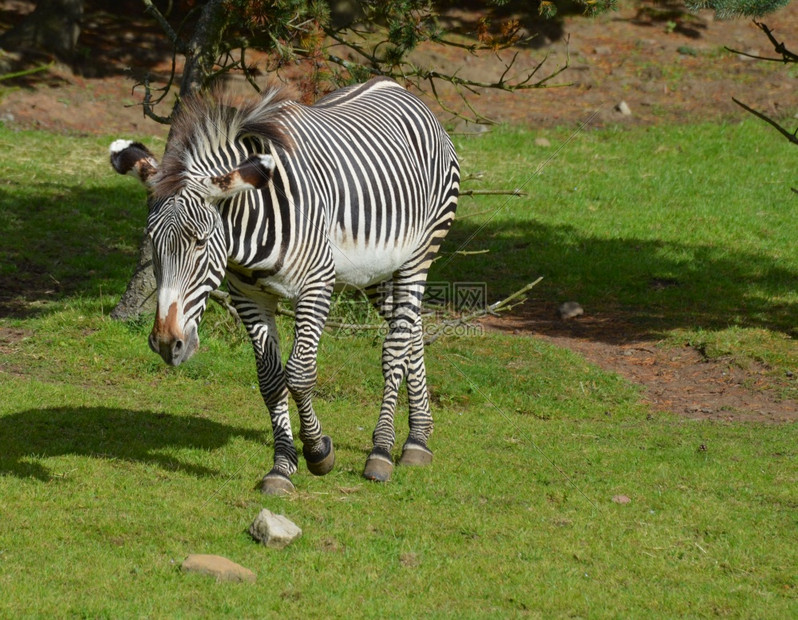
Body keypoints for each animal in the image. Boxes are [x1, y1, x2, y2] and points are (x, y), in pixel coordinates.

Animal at [112, 77, 462, 494]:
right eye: (152, 240)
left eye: (199, 242)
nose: (167, 344)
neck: (248, 229)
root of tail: (397, 87)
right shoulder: (248, 296)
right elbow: (270, 379)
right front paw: (282, 467)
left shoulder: (316, 284)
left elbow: (298, 373)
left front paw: (318, 451)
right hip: (375, 271)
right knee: (410, 330)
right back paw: (417, 439)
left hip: (419, 254)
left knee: (394, 347)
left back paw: (381, 451)